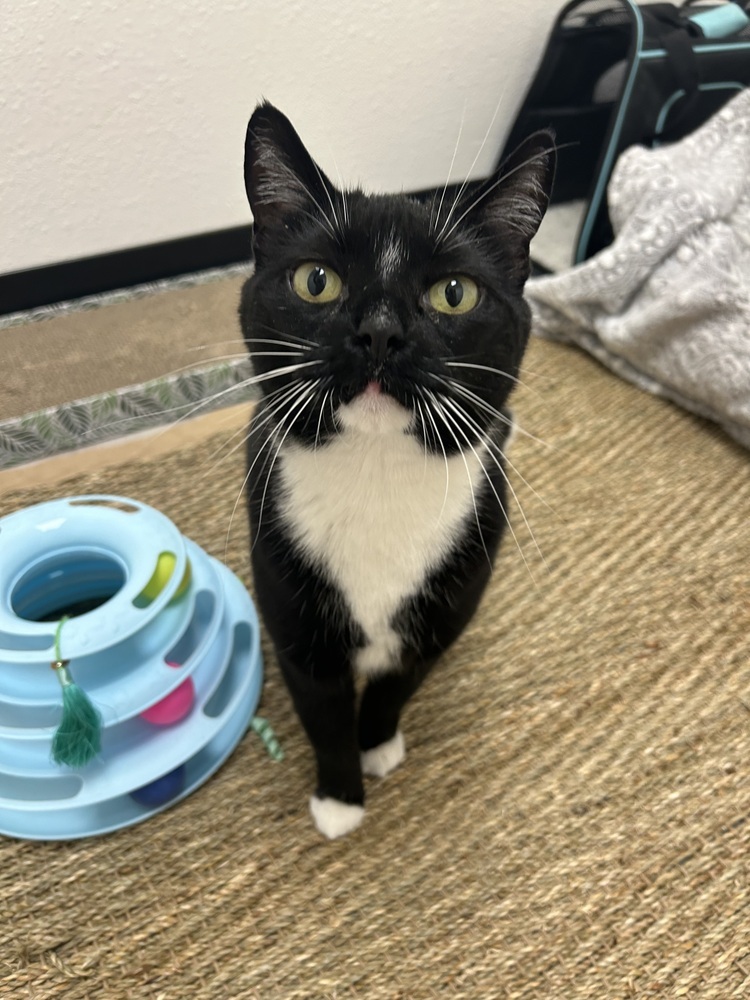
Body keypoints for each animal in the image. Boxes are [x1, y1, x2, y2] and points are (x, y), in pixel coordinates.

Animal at [241, 103, 560, 836]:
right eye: (316, 280)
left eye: (454, 294)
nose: (381, 331)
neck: (376, 474)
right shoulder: (296, 625)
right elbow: (323, 713)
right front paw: (340, 800)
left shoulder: (445, 609)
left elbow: (396, 685)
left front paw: (378, 744)